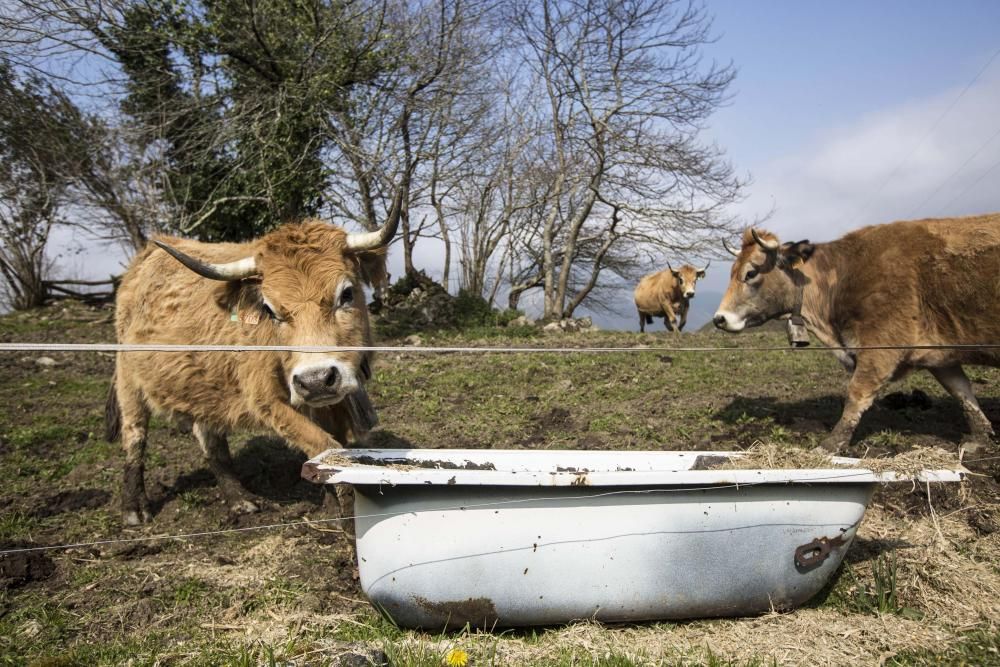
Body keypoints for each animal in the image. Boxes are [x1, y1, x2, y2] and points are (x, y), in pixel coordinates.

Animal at [102, 204, 398, 528]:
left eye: (346, 293)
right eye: (270, 309)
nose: (316, 379)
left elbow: (334, 446)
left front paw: (332, 509)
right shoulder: (267, 401)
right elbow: (323, 445)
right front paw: (345, 522)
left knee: (210, 440)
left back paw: (239, 500)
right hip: (129, 383)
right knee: (135, 438)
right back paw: (134, 508)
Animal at [712, 217, 1000, 456]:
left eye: (751, 273)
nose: (719, 318)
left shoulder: (880, 348)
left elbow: (856, 395)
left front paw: (829, 445)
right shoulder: (940, 354)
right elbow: (962, 392)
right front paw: (980, 438)